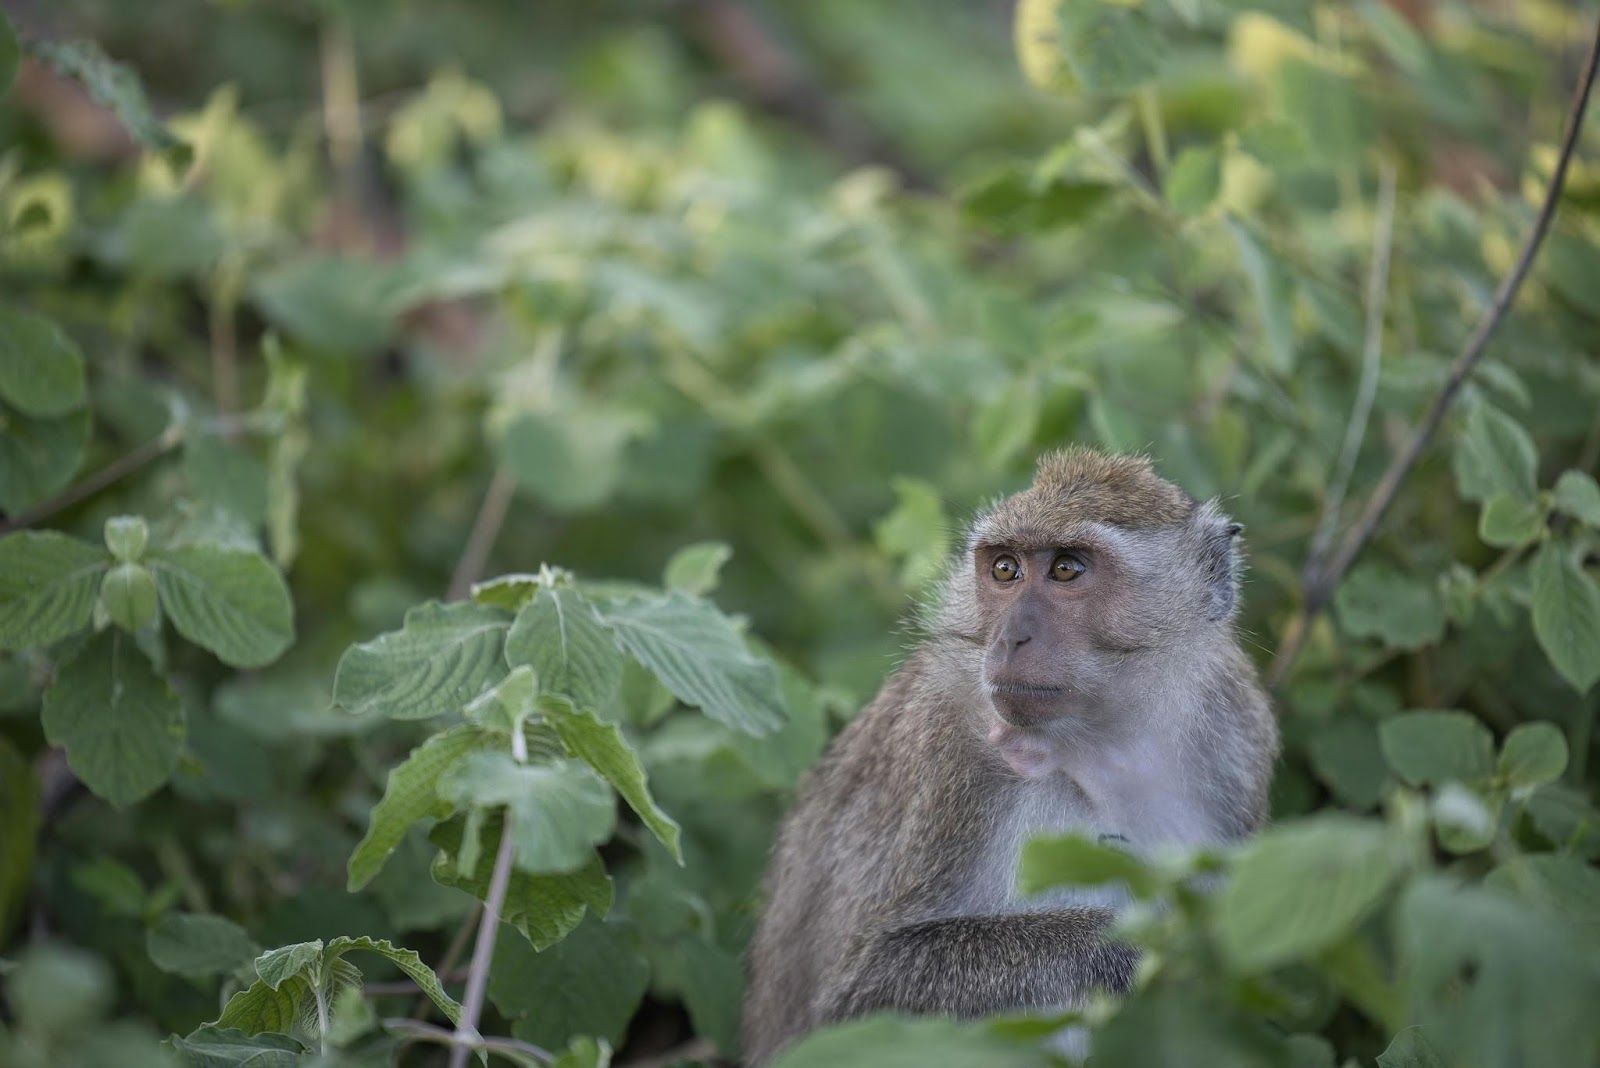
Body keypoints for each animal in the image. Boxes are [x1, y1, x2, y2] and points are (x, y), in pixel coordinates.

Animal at [741, 448, 1279, 1064]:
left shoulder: (1240, 736)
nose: (1010, 638)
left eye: (1067, 568)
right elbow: (857, 997)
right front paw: (1131, 944)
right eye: (1005, 569)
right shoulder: (941, 755)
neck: (1105, 746)